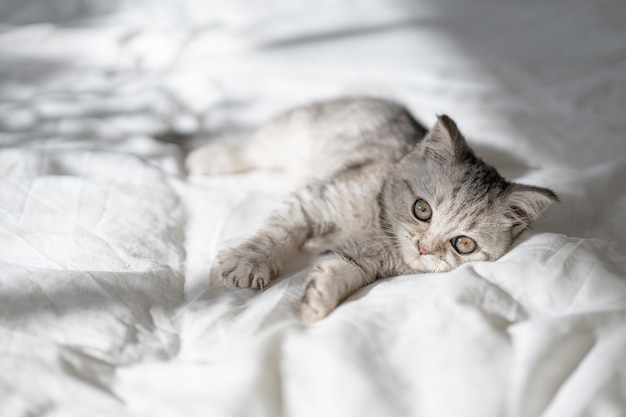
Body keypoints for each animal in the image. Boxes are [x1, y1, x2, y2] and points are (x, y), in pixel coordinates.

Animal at [185, 96, 556, 322]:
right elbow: (278, 234)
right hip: (292, 131)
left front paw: (318, 300)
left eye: (463, 243)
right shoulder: (315, 200)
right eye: (422, 210)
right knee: (250, 145)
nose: (424, 248)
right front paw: (249, 262)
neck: (379, 229)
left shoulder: (359, 259)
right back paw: (206, 158)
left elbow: (338, 270)